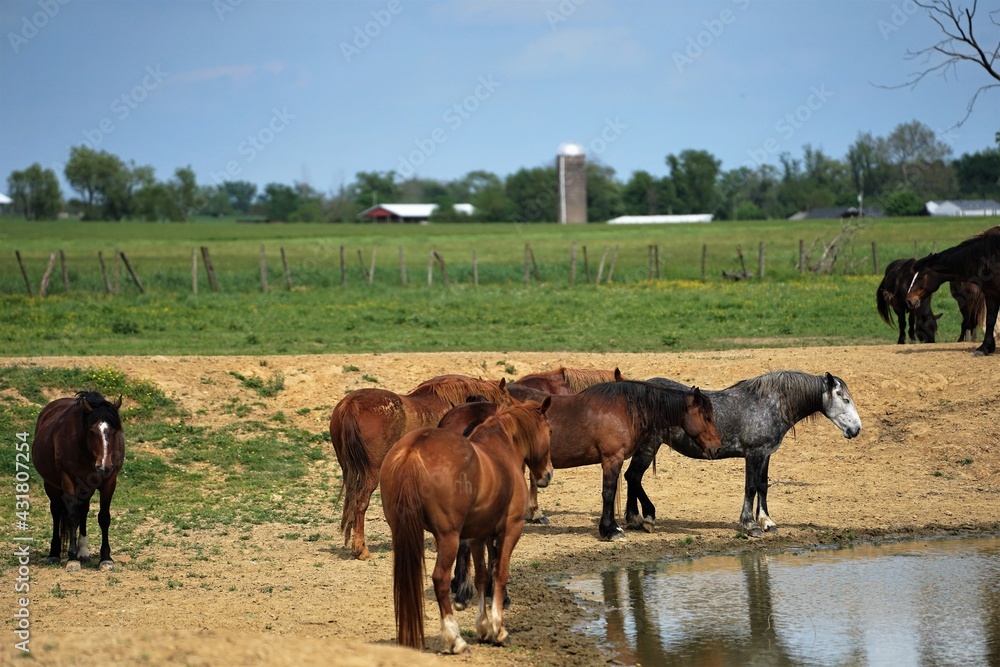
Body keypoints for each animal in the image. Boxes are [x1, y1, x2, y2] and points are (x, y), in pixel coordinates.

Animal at [31, 391, 125, 571]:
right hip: (51, 485)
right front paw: (72, 558)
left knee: (84, 510)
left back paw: (84, 551)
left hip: (86, 488)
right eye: (92, 431)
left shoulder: (109, 481)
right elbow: (73, 516)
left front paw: (105, 558)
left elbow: (104, 517)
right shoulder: (68, 481)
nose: (104, 466)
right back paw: (54, 553)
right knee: (56, 511)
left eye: (115, 431)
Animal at [380, 396, 553, 654]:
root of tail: (413, 450)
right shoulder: (511, 529)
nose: (548, 474)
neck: (502, 450)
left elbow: (482, 576)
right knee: (440, 579)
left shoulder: (477, 536)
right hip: (448, 538)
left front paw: (483, 627)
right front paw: (498, 630)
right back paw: (455, 639)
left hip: (402, 532)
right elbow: (500, 573)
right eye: (550, 430)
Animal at [625, 371, 862, 538]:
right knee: (633, 476)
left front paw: (767, 522)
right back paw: (644, 518)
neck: (770, 405)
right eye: (844, 399)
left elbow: (763, 486)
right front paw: (750, 524)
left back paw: (634, 518)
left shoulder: (766, 453)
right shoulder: (754, 454)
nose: (856, 429)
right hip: (649, 446)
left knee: (632, 477)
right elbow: (750, 487)